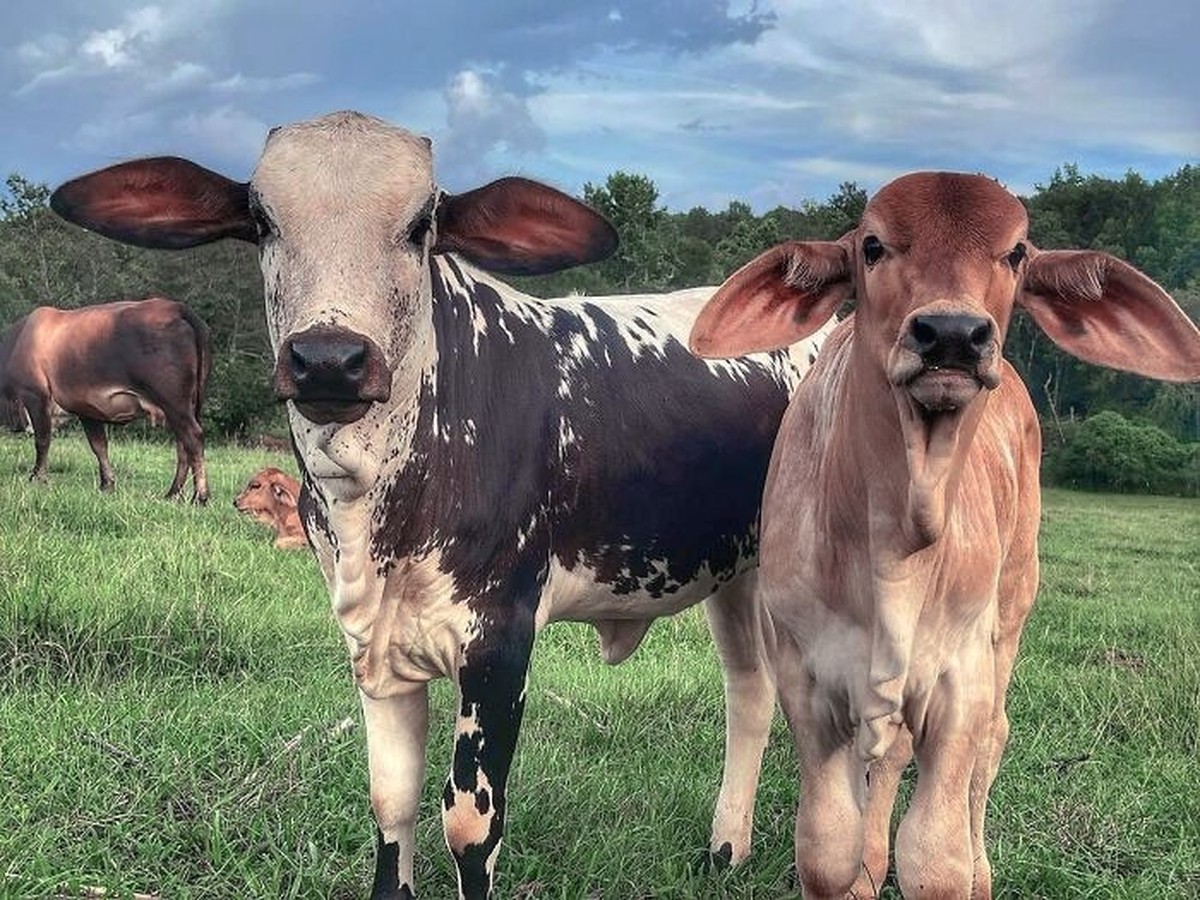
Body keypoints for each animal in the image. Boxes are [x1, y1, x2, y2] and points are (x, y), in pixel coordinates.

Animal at [0, 297, 211, 502]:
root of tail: (176, 307)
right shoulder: (86, 408)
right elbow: (99, 446)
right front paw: (107, 484)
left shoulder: (35, 396)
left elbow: (42, 441)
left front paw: (37, 478)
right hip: (184, 406)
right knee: (182, 445)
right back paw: (173, 493)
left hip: (174, 403)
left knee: (193, 438)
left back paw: (200, 496)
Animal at [49, 110, 833, 899]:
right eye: (262, 220)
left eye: (421, 223)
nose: (328, 359)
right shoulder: (372, 647)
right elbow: (390, 798)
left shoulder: (501, 641)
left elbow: (468, 825)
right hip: (732, 570)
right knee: (751, 689)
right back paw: (726, 848)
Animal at [688, 172, 1200, 899]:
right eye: (872, 245)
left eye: (1016, 253)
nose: (952, 334)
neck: (898, 541)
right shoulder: (807, 680)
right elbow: (827, 847)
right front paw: (858, 869)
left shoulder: (963, 680)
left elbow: (936, 857)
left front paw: (946, 866)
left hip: (1012, 607)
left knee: (992, 744)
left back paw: (981, 865)